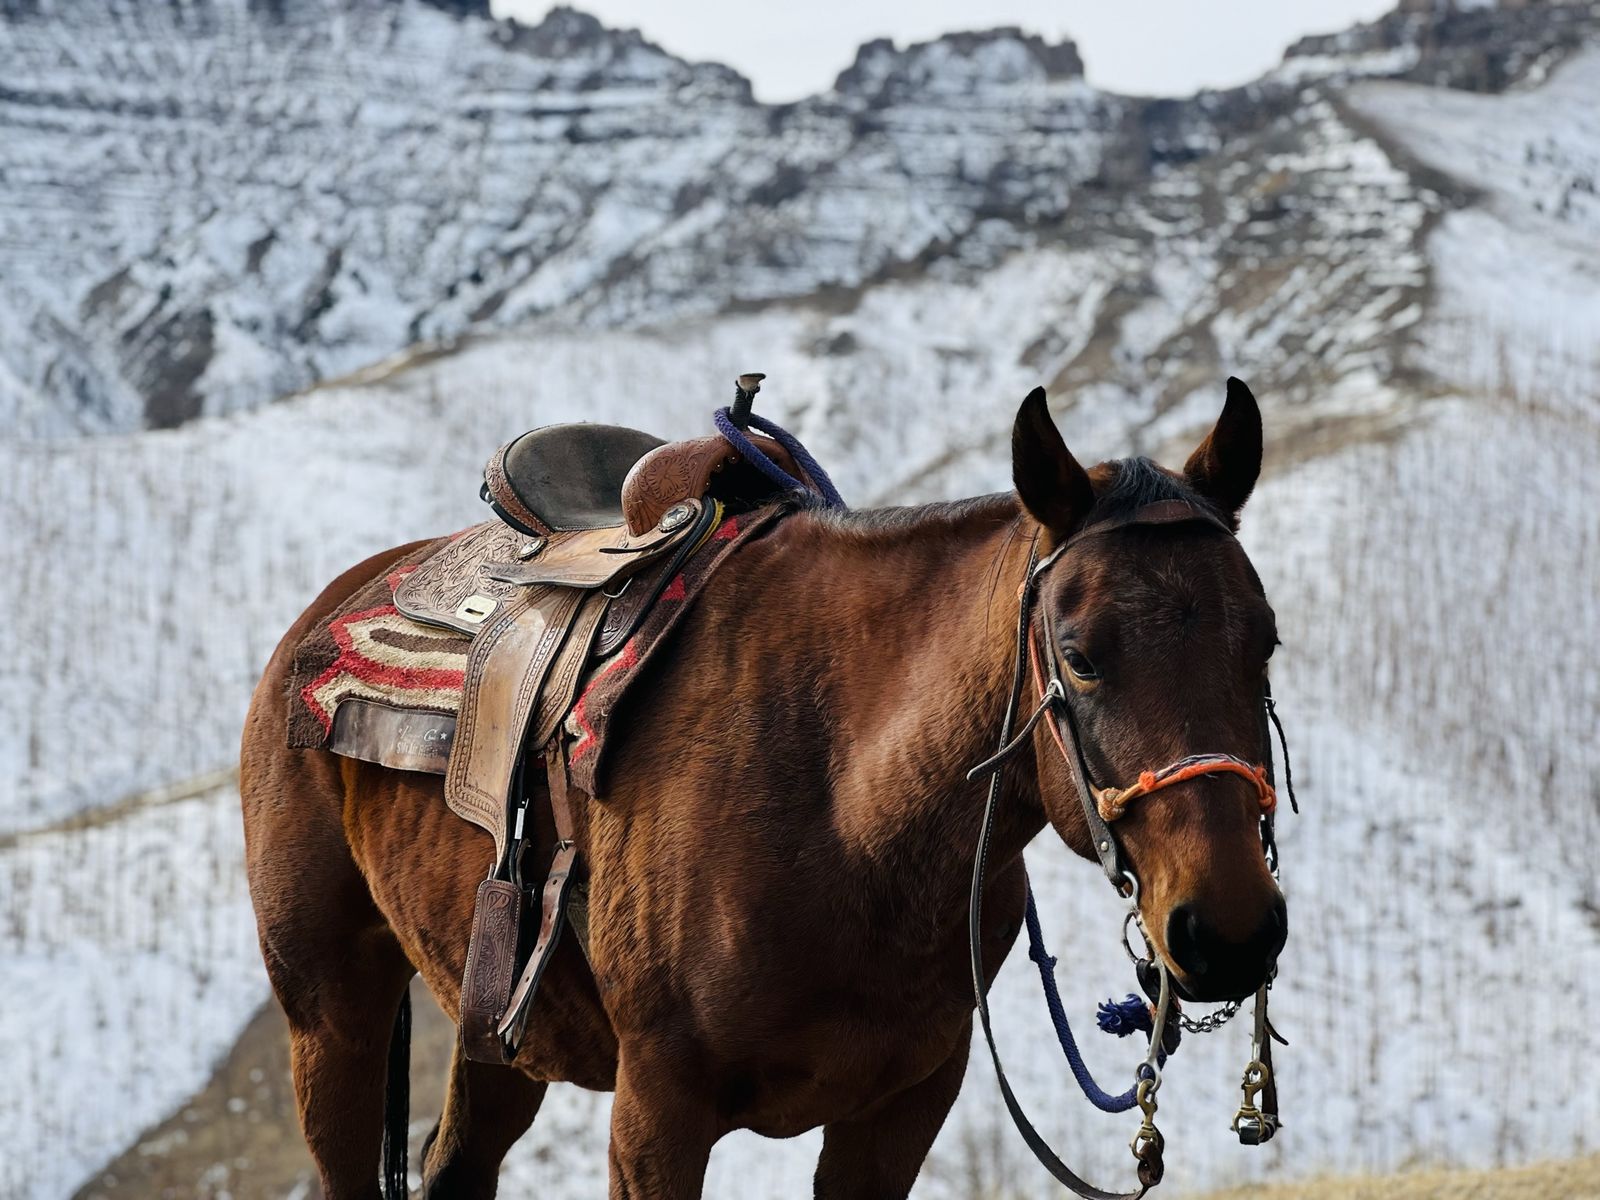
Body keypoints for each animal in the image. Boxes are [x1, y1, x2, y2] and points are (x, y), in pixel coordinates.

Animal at [240, 379, 1288, 1198]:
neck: (850, 814)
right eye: (1080, 656)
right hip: (328, 1014)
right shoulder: (658, 1111)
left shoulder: (900, 1112)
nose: (1229, 929)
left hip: (493, 1024)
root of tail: (326, 610)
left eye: (1266, 642)